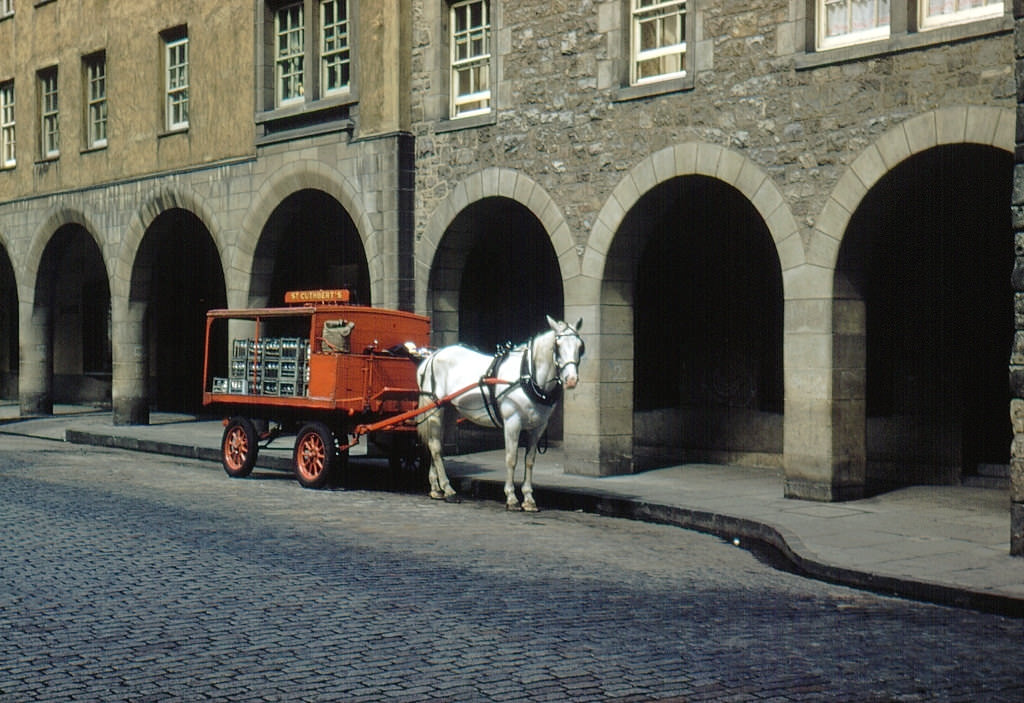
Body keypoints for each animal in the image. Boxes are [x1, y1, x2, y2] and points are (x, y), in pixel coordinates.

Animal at [415, 317, 585, 511]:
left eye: (580, 346)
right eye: (557, 345)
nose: (571, 380)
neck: (527, 376)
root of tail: (431, 357)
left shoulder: (538, 427)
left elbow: (529, 460)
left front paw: (528, 499)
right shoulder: (513, 422)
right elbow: (511, 459)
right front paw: (511, 497)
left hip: (449, 410)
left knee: (437, 445)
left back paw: (436, 488)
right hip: (434, 409)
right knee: (435, 447)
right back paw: (448, 489)